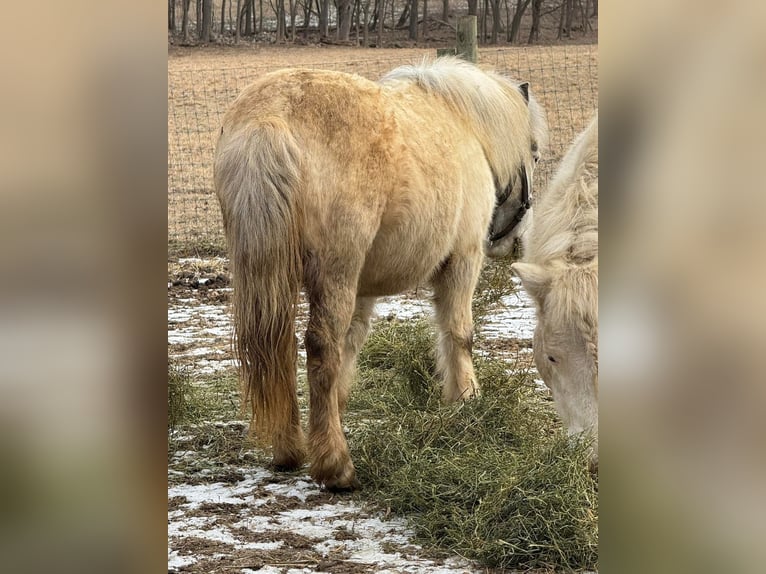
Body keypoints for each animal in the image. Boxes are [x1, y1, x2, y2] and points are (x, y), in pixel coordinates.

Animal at [216, 57, 548, 490]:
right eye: (535, 154)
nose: (517, 242)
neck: (463, 123)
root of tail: (269, 117)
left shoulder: (363, 288)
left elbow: (351, 345)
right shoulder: (463, 260)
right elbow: (459, 334)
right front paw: (466, 399)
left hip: (274, 278)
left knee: (279, 348)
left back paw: (290, 450)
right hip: (334, 272)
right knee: (320, 347)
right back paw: (336, 466)